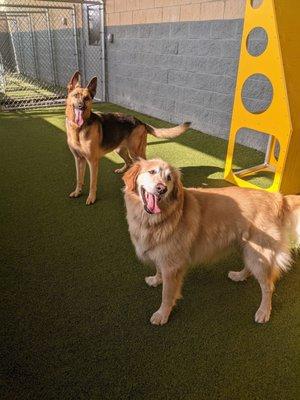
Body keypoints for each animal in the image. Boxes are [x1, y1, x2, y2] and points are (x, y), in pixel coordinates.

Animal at [66, 70, 191, 205]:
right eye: (76, 95)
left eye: (87, 98)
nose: (81, 106)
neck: (78, 129)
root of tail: (141, 122)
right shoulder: (79, 159)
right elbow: (79, 178)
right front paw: (77, 192)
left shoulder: (92, 162)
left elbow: (92, 183)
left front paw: (91, 197)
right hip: (120, 150)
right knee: (129, 162)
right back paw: (124, 171)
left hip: (135, 151)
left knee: (140, 164)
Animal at [122, 159, 300, 324]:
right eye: (152, 172)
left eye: (169, 178)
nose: (162, 189)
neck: (156, 219)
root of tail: (278, 197)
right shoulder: (162, 255)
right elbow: (158, 269)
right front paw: (156, 279)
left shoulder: (172, 266)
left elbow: (167, 294)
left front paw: (162, 314)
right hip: (248, 248)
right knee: (250, 268)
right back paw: (239, 276)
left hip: (259, 253)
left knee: (268, 287)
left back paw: (264, 311)